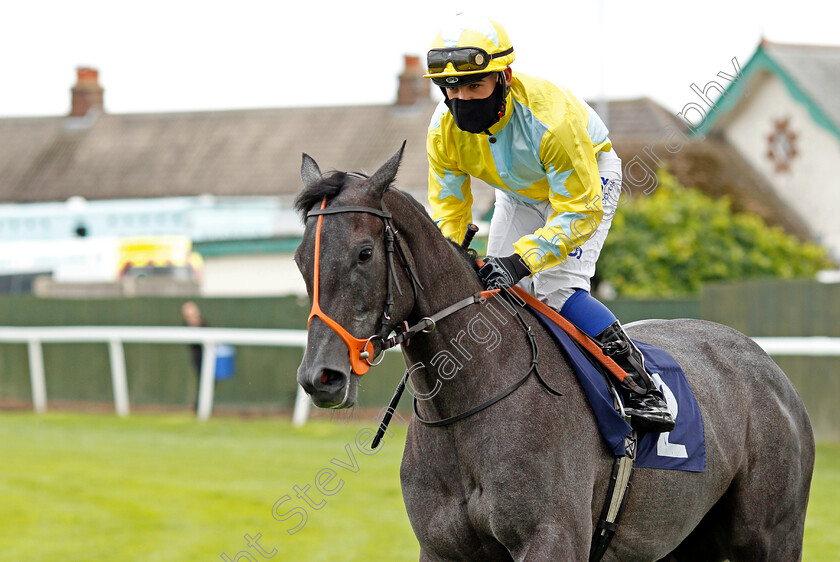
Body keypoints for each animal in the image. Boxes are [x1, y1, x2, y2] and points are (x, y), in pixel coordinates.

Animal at [294, 147, 812, 556]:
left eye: (364, 253)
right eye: (300, 260)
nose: (321, 377)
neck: (470, 402)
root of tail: (768, 368)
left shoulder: (552, 538)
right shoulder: (442, 549)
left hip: (771, 535)